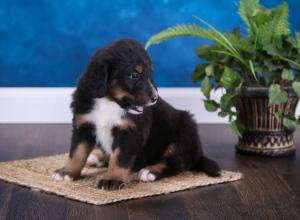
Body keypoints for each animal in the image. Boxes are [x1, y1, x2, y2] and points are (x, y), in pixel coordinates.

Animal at [52, 39, 220, 191]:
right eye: (134, 75)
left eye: (149, 75)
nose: (155, 98)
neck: (109, 102)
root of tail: (198, 153)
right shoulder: (83, 124)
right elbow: (77, 152)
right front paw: (67, 172)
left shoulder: (130, 133)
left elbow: (120, 159)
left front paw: (113, 179)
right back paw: (97, 157)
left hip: (183, 130)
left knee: (177, 161)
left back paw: (150, 171)